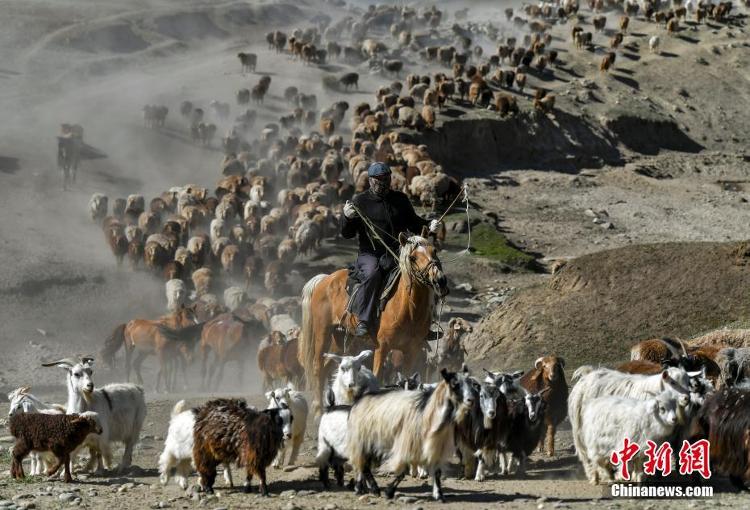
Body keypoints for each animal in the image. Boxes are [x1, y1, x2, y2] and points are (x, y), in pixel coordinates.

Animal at [300, 233, 450, 412]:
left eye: (434, 251)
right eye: (412, 257)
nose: (440, 281)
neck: (407, 309)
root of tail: (325, 279)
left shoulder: (412, 350)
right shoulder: (382, 347)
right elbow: (377, 376)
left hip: (340, 337)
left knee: (328, 367)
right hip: (322, 332)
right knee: (317, 367)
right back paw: (317, 409)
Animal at [346, 368, 476, 500]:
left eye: (470, 383)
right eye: (454, 384)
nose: (471, 400)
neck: (427, 414)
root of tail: (359, 401)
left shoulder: (436, 446)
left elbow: (437, 471)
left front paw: (439, 494)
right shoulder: (407, 445)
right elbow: (402, 473)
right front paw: (389, 492)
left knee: (363, 465)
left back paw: (364, 489)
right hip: (363, 440)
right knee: (363, 465)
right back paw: (371, 489)